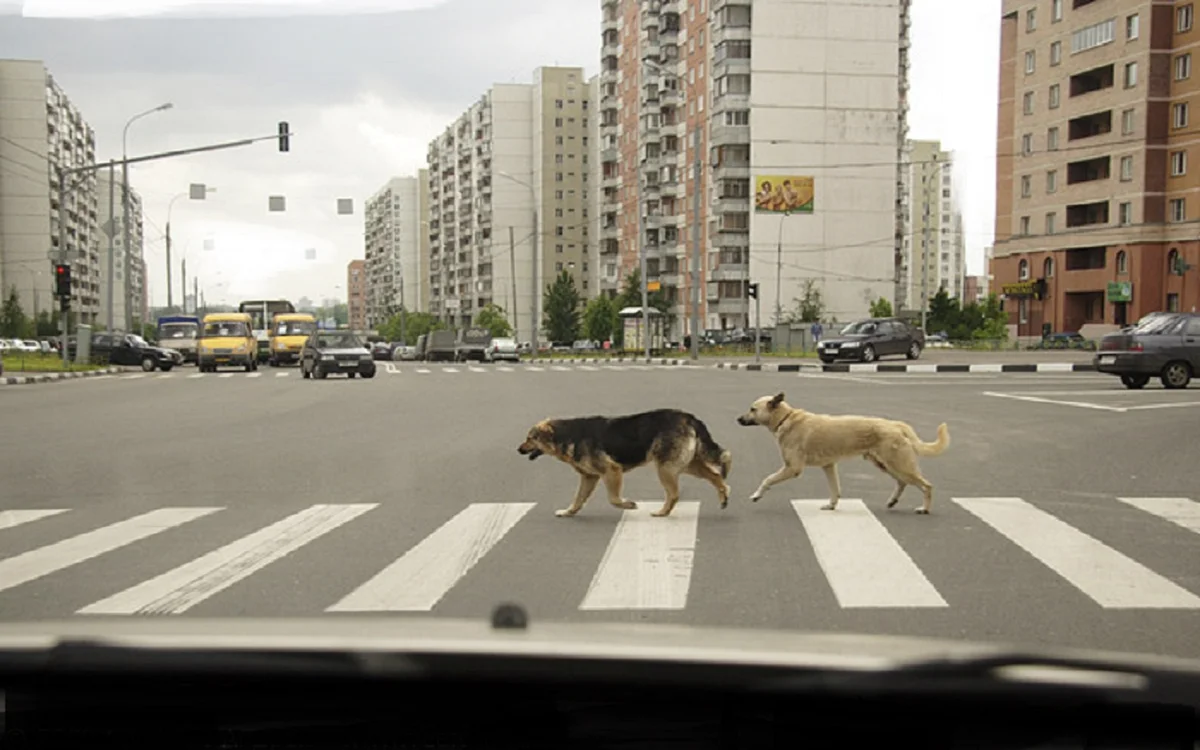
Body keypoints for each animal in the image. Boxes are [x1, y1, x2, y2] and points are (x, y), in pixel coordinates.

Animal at [516, 410, 729, 513]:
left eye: (530, 438)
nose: (518, 450)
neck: (566, 436)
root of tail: (688, 417)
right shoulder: (589, 478)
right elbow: (578, 499)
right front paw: (569, 512)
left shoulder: (612, 471)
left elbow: (613, 499)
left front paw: (628, 505)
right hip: (687, 465)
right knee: (716, 476)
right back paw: (724, 496)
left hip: (666, 468)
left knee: (674, 494)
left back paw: (662, 513)